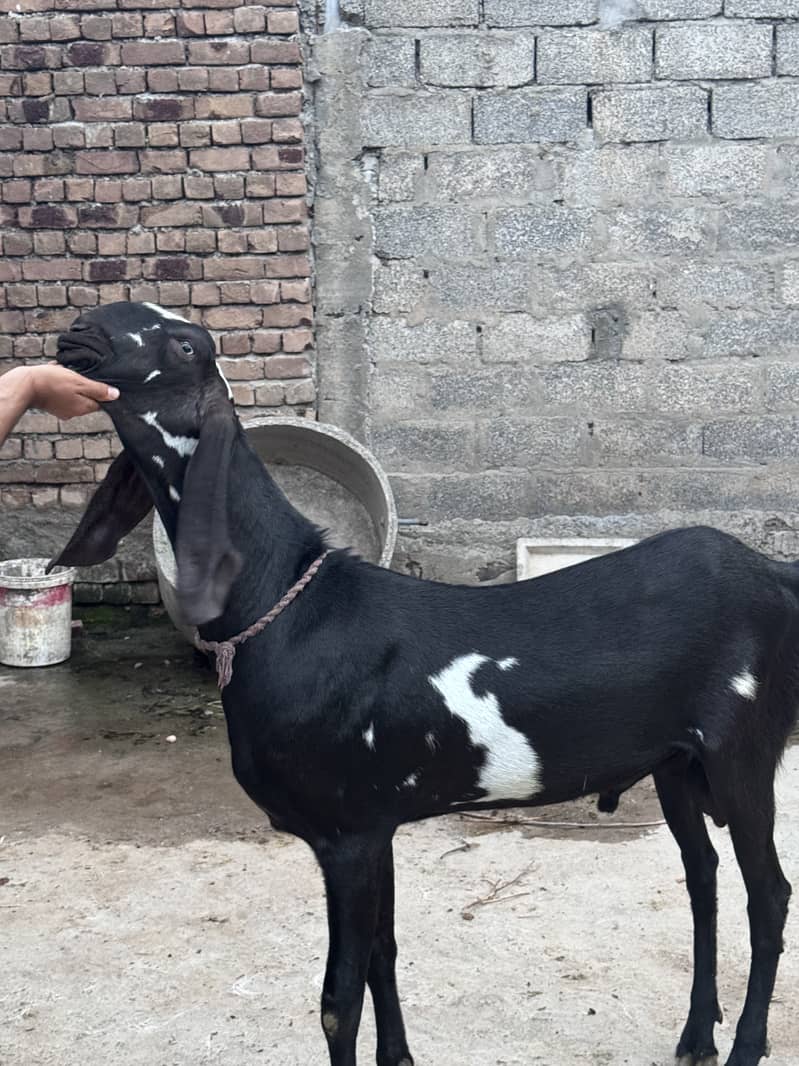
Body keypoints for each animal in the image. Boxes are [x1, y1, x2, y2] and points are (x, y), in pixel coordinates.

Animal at [50, 301, 795, 1066]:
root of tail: (771, 573)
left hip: (742, 754)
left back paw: (743, 1045)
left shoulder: (345, 833)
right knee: (702, 877)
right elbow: (383, 954)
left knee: (767, 895)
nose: (80, 330)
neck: (288, 606)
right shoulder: (377, 825)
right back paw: (695, 1036)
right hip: (677, 764)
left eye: (183, 344)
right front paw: (400, 1057)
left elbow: (337, 1001)